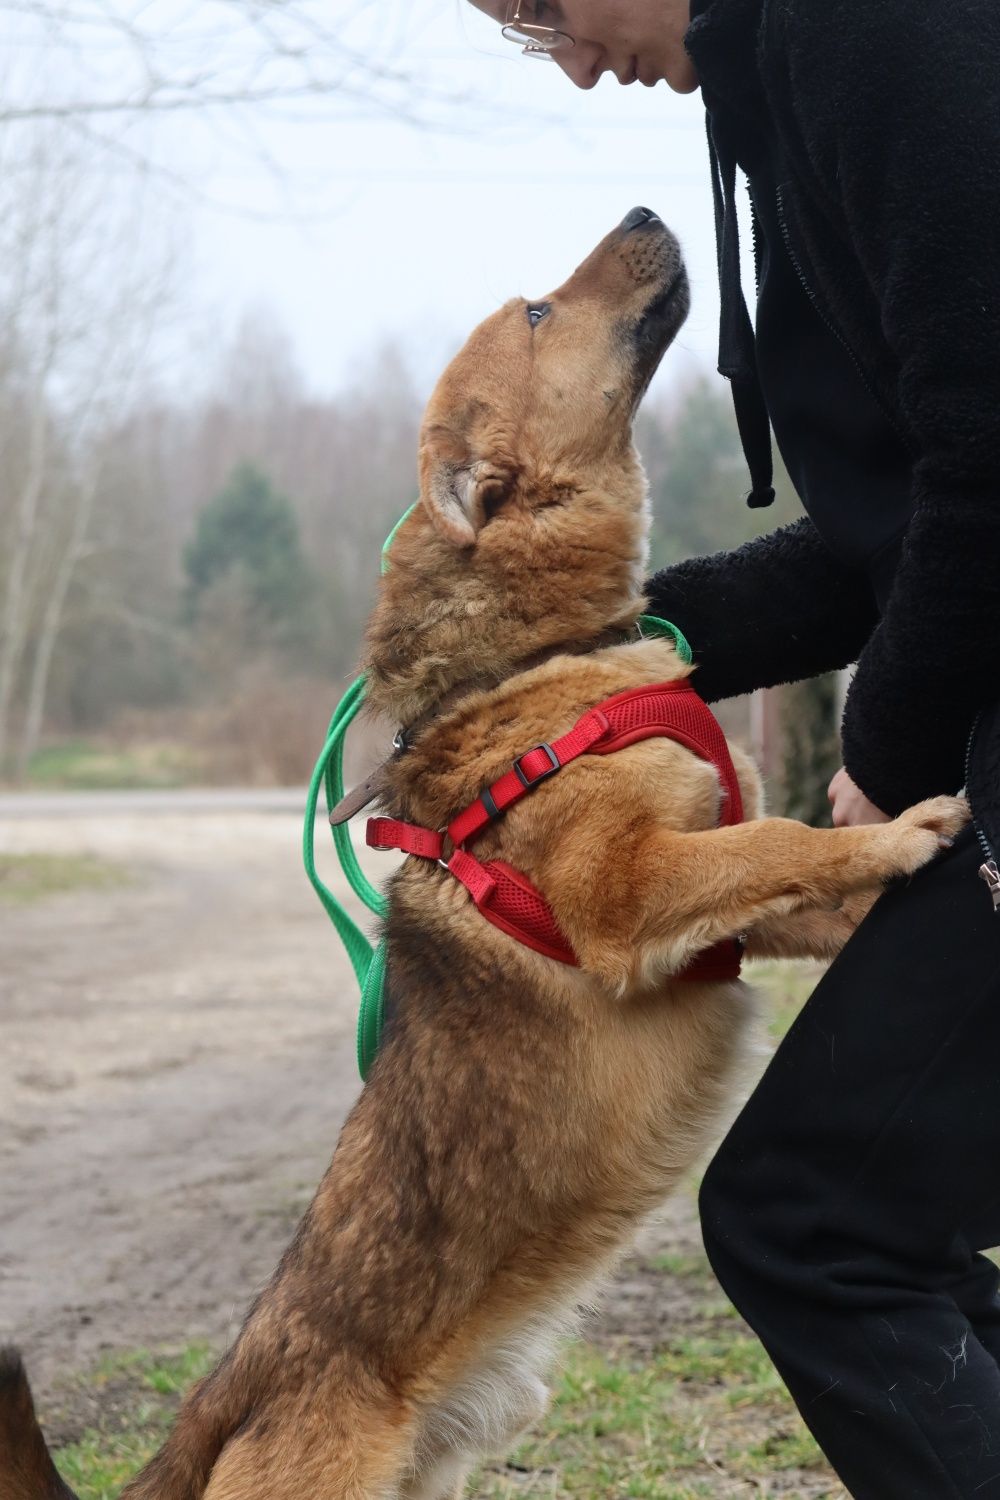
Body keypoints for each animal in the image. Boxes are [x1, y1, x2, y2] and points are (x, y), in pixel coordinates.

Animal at [1, 205, 971, 1494]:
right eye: (541, 311)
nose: (646, 215)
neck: (535, 660)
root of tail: (223, 1398)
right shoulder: (629, 890)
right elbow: (781, 839)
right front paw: (910, 828)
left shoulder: (725, 900)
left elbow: (788, 862)